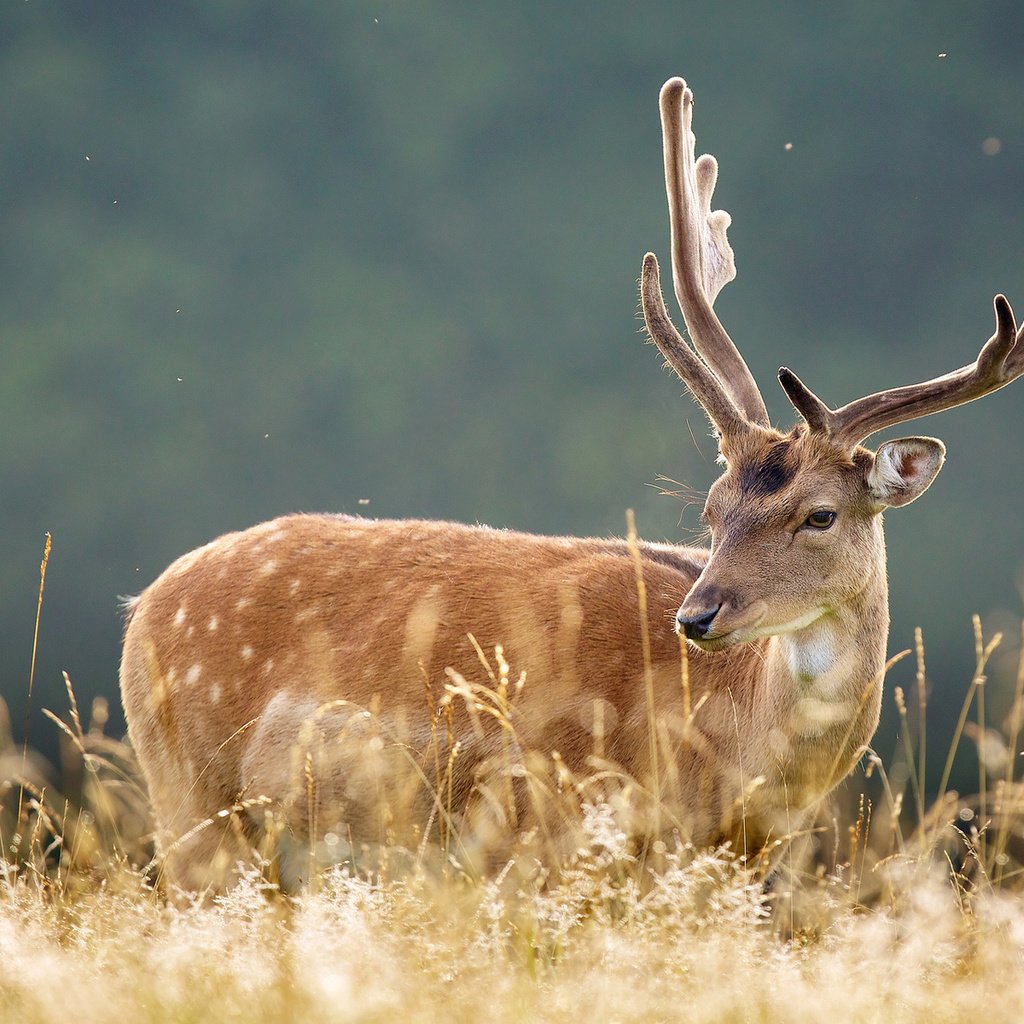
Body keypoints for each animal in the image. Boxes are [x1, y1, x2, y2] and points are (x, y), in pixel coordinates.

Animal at [121, 75, 1024, 888]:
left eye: (820, 516)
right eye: (713, 510)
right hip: (190, 802)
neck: (726, 759)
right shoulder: (547, 831)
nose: (697, 615)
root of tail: (142, 608)